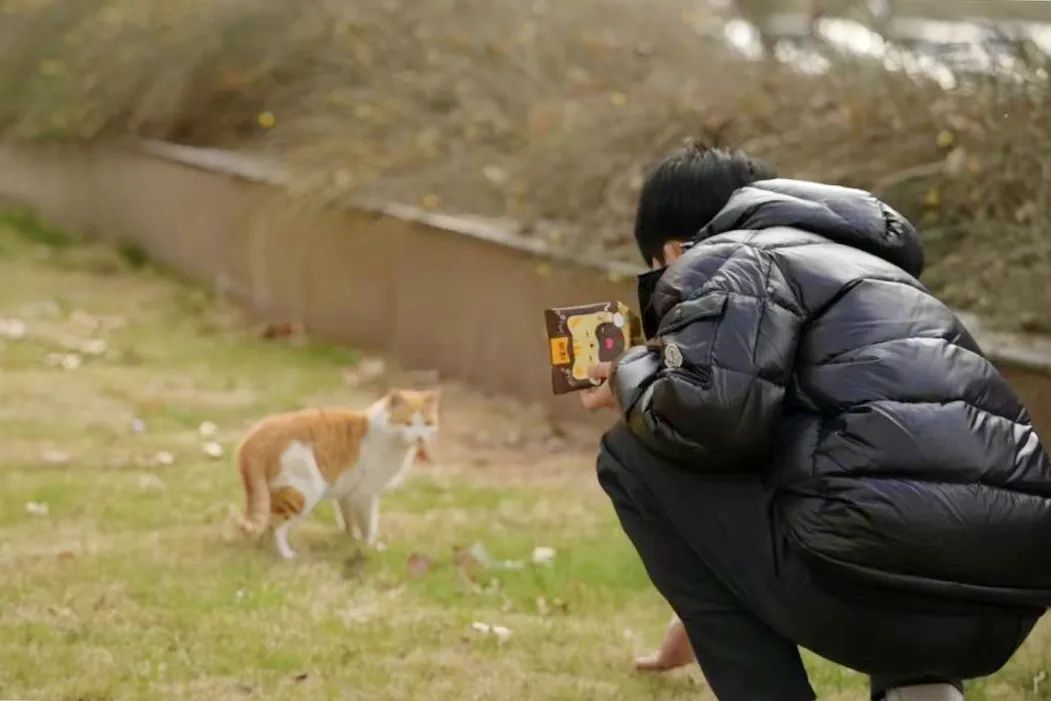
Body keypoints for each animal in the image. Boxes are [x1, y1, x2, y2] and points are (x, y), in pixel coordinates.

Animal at [236, 388, 437, 559]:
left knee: (266, 526)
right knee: (277, 527)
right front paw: (370, 546)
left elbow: (348, 520)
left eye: (427, 423)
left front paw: (351, 541)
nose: (420, 437)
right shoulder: (365, 495)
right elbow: (369, 524)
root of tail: (255, 437)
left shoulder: (347, 494)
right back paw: (287, 556)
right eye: (408, 423)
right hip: (304, 492)